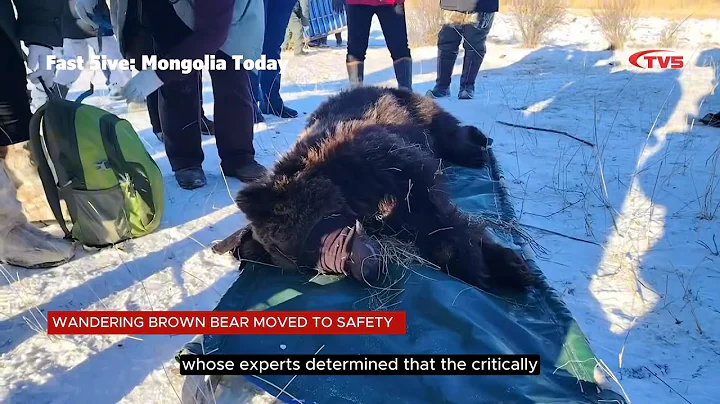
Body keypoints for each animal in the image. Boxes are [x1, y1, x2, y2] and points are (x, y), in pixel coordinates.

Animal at [226, 87, 532, 292]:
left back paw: (476, 146)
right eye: (307, 263)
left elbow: (437, 216)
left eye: (311, 238)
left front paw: (490, 265)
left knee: (448, 131)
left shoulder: (391, 166)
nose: (363, 267)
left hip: (417, 112)